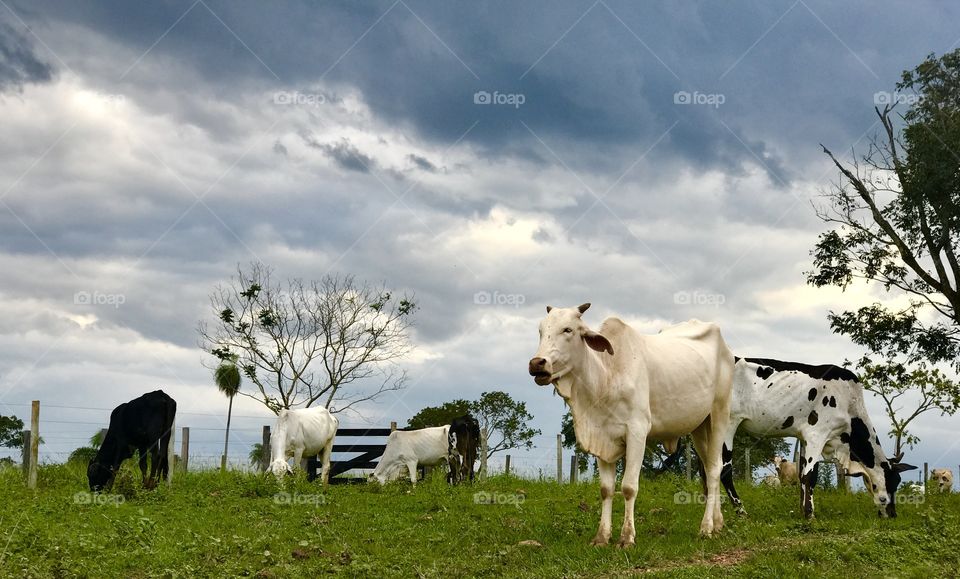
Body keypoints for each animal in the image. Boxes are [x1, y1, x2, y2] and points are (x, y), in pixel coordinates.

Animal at [529, 303, 733, 545]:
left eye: (568, 329)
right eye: (541, 330)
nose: (536, 363)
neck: (607, 376)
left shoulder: (637, 432)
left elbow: (628, 487)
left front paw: (627, 537)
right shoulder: (602, 437)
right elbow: (606, 489)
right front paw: (602, 536)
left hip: (719, 413)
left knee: (714, 470)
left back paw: (706, 527)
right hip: (700, 427)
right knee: (712, 468)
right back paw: (718, 523)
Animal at [717, 357, 916, 518]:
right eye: (893, 483)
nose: (893, 514)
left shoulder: (804, 439)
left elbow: (802, 475)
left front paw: (801, 510)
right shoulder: (817, 435)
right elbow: (810, 476)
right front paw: (809, 514)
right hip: (728, 422)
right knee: (724, 470)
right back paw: (741, 512)